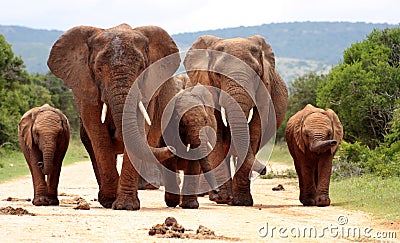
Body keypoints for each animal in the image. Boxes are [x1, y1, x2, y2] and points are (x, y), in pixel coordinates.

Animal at [47, 23, 180, 210]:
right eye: (98, 69)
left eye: (142, 68)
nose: (173, 149)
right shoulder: (86, 88)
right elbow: (98, 135)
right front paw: (110, 201)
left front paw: (125, 206)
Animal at [183, 35, 290, 207]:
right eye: (218, 74)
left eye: (256, 74)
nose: (265, 170)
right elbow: (219, 134)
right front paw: (223, 199)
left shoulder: (264, 90)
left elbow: (255, 130)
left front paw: (242, 202)